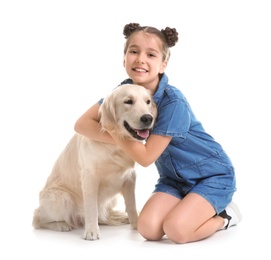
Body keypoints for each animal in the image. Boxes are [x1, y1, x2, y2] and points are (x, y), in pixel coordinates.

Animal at [33, 83, 158, 240]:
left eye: (148, 102)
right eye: (128, 101)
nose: (148, 118)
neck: (116, 145)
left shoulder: (130, 177)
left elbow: (131, 204)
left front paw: (136, 224)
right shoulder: (90, 177)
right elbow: (91, 207)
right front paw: (91, 231)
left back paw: (117, 217)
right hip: (62, 198)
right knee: (37, 218)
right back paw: (61, 224)